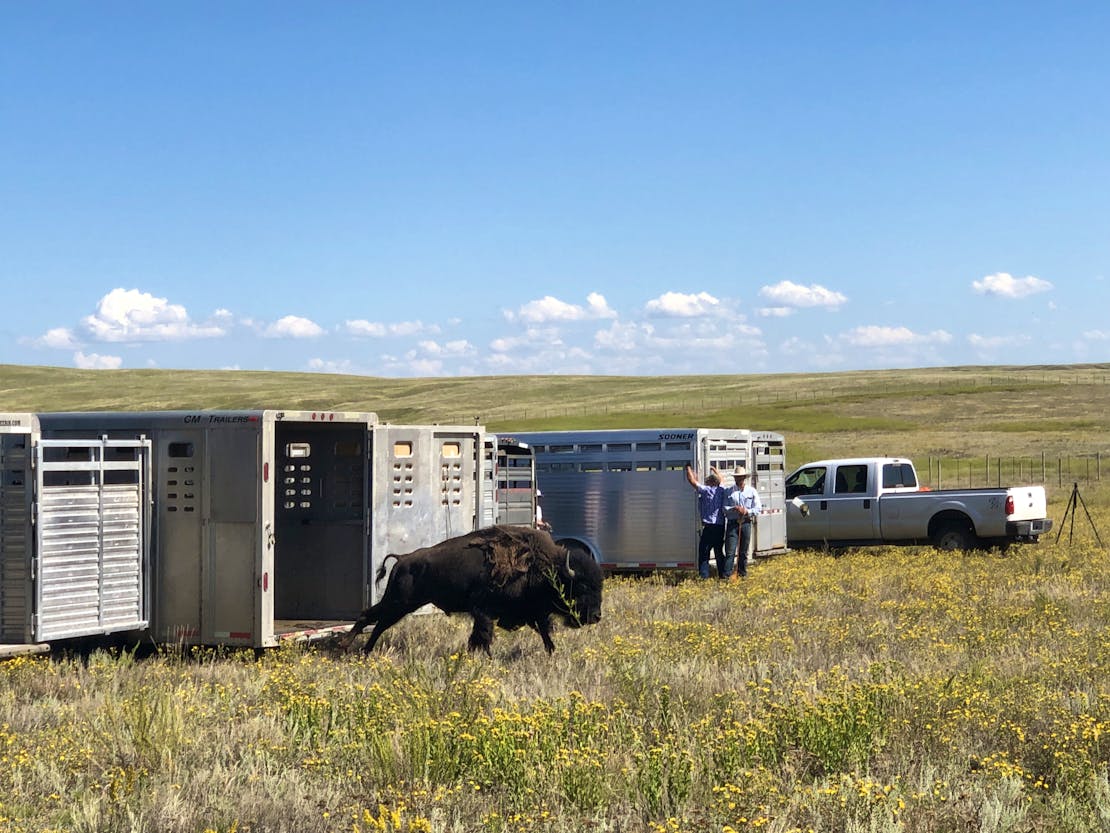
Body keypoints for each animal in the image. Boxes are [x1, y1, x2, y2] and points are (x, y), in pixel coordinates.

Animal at [335, 524, 603, 657]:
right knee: (374, 619)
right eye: (581, 586)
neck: (544, 567)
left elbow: (545, 634)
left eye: (599, 585)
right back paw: (351, 648)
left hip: (401, 603)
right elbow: (483, 636)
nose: (597, 616)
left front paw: (552, 654)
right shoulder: (483, 611)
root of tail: (403, 559)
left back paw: (358, 650)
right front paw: (486, 658)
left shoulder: (533, 612)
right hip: (399, 602)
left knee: (374, 619)